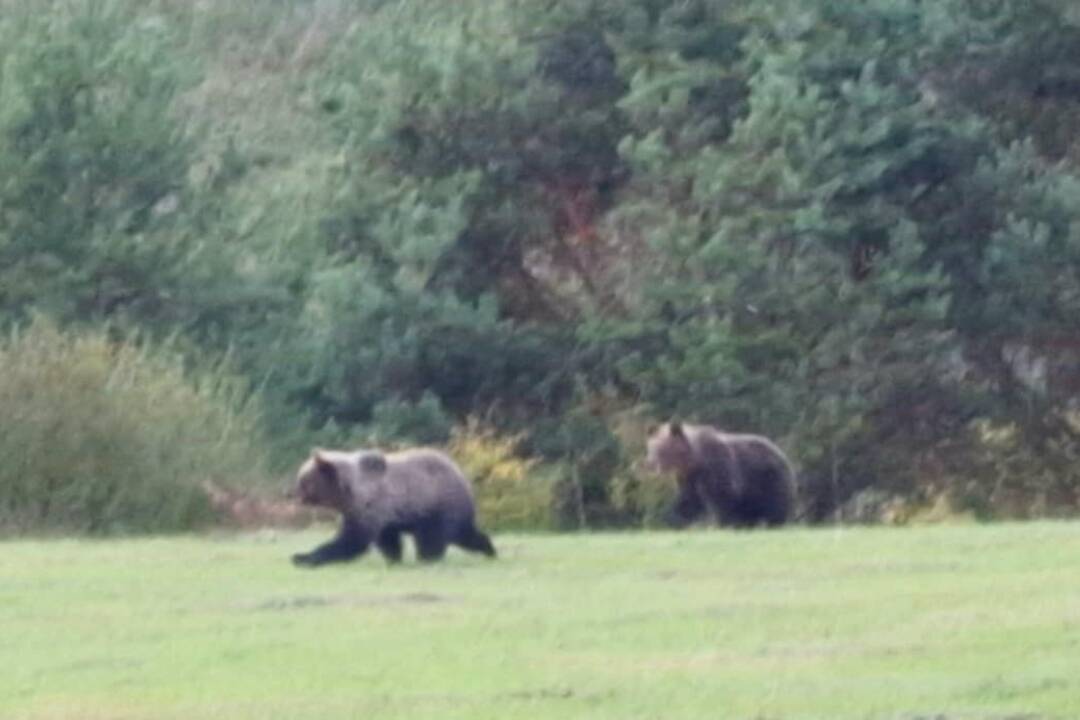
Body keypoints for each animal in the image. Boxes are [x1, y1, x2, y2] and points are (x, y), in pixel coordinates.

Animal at [289, 444, 494, 569]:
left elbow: (352, 540)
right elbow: (387, 540)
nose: (297, 497)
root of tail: (461, 475)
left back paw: (428, 559)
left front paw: (302, 558)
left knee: (433, 537)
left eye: (303, 482)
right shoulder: (375, 515)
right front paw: (393, 559)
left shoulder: (369, 506)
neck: (347, 494)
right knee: (465, 534)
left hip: (437, 505)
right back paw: (489, 550)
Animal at [643, 423, 799, 528]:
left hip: (769, 478)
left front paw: (722, 523)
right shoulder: (688, 479)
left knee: (775, 503)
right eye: (651, 449)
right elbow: (688, 500)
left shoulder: (717, 467)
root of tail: (782, 454)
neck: (696, 461)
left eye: (663, 450)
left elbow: (723, 494)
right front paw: (677, 519)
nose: (651, 465)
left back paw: (775, 522)